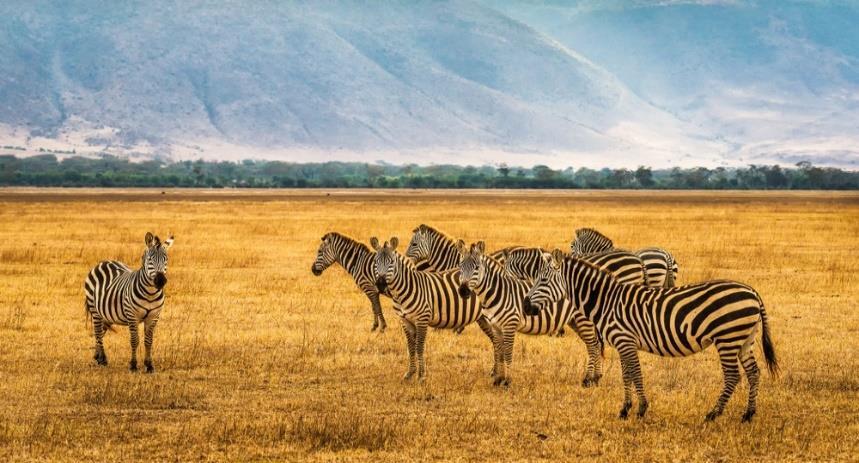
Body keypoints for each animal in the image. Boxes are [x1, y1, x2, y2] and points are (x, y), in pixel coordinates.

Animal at [84, 232, 175, 374]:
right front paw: (133, 365)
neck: (150, 293)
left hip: (105, 313)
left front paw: (149, 365)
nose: (160, 281)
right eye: (150, 260)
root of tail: (104, 262)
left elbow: (148, 341)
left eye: (166, 259)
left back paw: (97, 356)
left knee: (100, 331)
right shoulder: (133, 316)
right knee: (98, 331)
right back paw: (102, 359)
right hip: (94, 309)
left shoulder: (154, 316)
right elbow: (134, 340)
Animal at [372, 237, 494, 382]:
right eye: (375, 262)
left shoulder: (422, 319)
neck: (402, 292)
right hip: (483, 318)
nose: (380, 284)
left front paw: (421, 376)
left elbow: (419, 347)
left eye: (391, 262)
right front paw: (410, 373)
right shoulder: (405, 320)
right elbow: (410, 347)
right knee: (495, 340)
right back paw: (494, 371)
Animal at [456, 241, 596, 386]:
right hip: (575, 321)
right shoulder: (496, 326)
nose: (463, 291)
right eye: (460, 266)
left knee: (592, 346)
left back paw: (589, 379)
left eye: (477, 268)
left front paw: (507, 381)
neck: (498, 292)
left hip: (583, 320)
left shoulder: (510, 325)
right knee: (595, 345)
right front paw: (498, 380)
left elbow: (507, 353)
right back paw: (597, 377)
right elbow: (499, 351)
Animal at [524, 250, 780, 424]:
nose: (526, 306)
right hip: (744, 339)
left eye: (543, 280)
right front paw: (625, 409)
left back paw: (713, 413)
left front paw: (641, 409)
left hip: (727, 338)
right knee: (754, 373)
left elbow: (635, 374)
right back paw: (748, 414)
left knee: (733, 376)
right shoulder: (623, 344)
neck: (607, 301)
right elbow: (626, 375)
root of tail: (752, 292)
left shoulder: (625, 341)